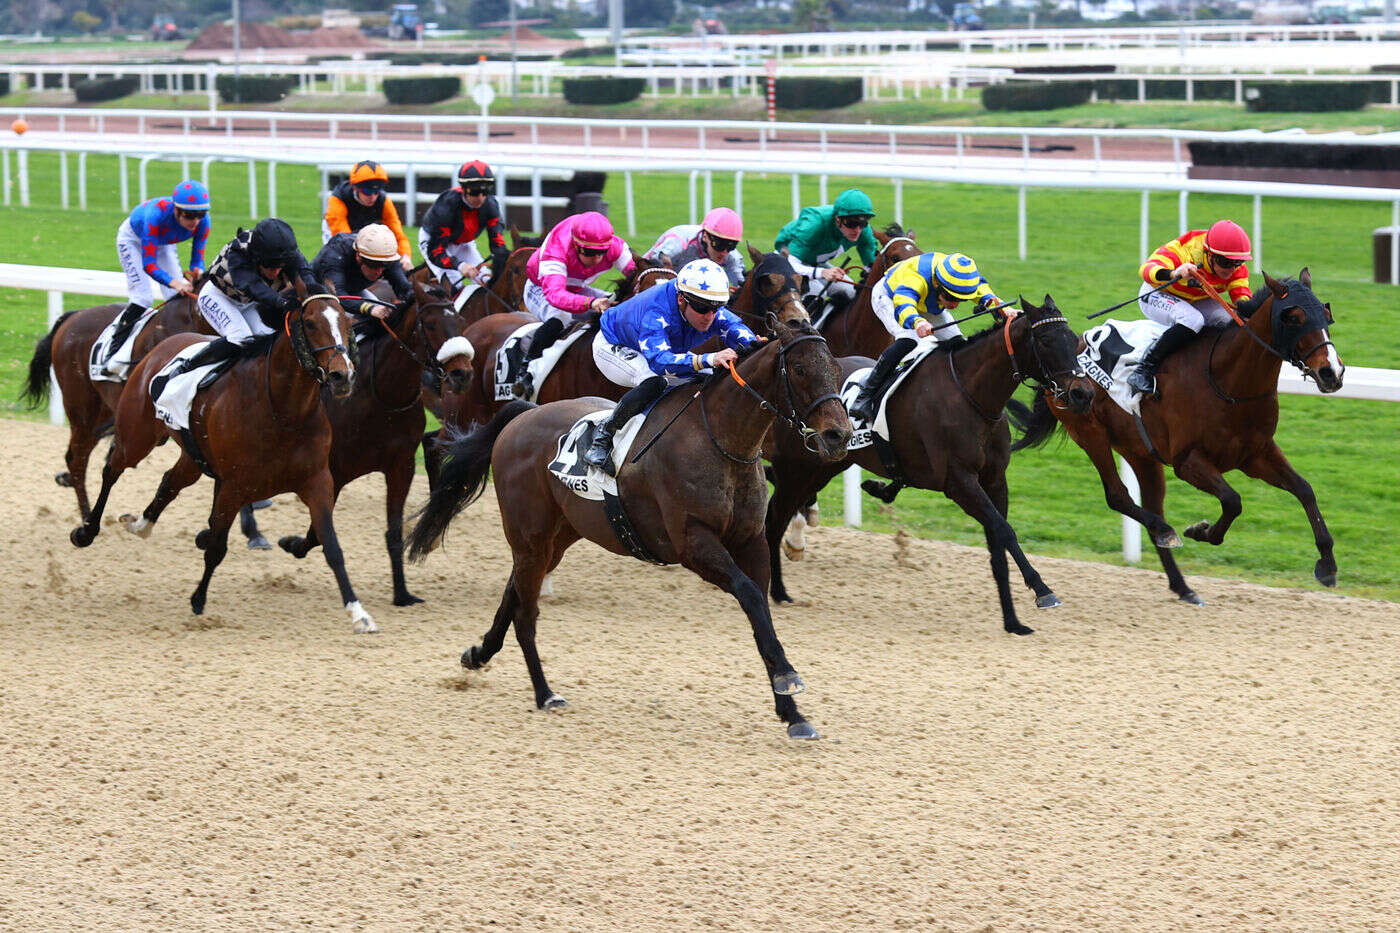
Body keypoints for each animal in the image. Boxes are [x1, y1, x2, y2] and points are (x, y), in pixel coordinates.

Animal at [66, 282, 378, 633]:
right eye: (310, 323)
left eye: (347, 323)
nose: (343, 377)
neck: (284, 410)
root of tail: (160, 348)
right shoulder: (234, 485)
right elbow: (217, 547)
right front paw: (198, 599)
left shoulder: (317, 482)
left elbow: (333, 548)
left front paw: (359, 613)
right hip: (135, 435)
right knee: (111, 470)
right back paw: (86, 530)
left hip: (192, 456)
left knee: (169, 482)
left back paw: (141, 525)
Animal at [275, 273, 478, 602]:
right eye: (430, 324)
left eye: (460, 320)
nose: (462, 374)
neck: (380, 394)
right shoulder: (334, 469)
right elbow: (318, 530)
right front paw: (292, 544)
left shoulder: (400, 466)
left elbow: (393, 531)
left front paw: (402, 593)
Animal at [406, 316, 851, 739]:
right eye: (799, 369)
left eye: (834, 367)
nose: (838, 435)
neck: (721, 442)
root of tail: (525, 414)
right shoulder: (693, 545)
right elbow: (751, 598)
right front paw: (789, 679)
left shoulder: (750, 540)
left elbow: (761, 615)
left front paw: (793, 712)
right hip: (530, 536)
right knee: (526, 613)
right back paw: (545, 693)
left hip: (558, 536)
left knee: (513, 593)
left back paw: (479, 654)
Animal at [767, 295, 1092, 633]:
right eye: (1045, 340)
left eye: (1073, 339)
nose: (1083, 394)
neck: (971, 395)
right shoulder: (959, 482)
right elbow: (1005, 531)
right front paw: (1042, 590)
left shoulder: (994, 480)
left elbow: (998, 544)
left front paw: (1013, 621)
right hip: (796, 470)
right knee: (772, 520)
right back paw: (777, 590)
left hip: (823, 468)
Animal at [1008, 268, 1344, 602]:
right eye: (1294, 317)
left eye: (1326, 314)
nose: (1332, 372)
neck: (1228, 381)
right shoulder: (1188, 461)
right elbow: (1233, 500)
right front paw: (1202, 531)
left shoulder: (1256, 454)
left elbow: (1304, 490)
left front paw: (1327, 564)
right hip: (1089, 432)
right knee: (1118, 495)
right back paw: (1166, 533)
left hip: (1140, 452)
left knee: (1151, 506)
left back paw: (1182, 584)